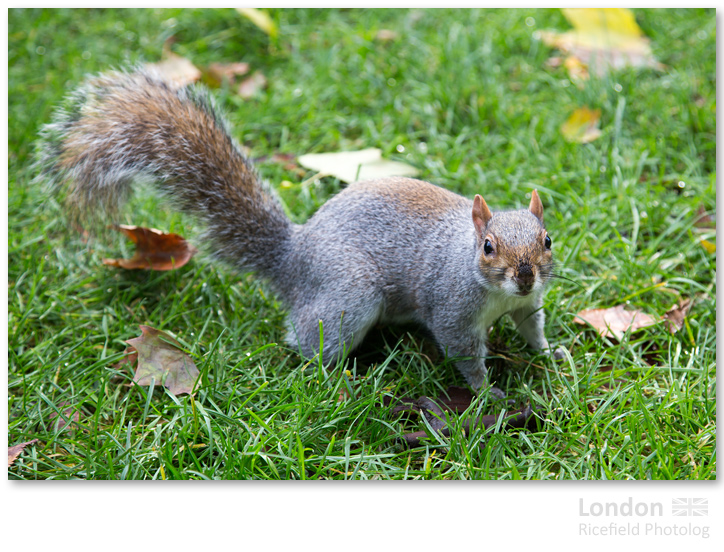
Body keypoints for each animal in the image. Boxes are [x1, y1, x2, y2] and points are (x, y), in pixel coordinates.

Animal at [36, 68, 564, 388]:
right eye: (488, 247)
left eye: (547, 239)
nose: (524, 276)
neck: (497, 294)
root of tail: (292, 258)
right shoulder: (452, 308)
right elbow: (463, 353)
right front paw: (487, 391)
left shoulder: (528, 304)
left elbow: (531, 326)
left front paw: (550, 353)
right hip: (351, 294)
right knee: (310, 346)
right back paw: (343, 381)